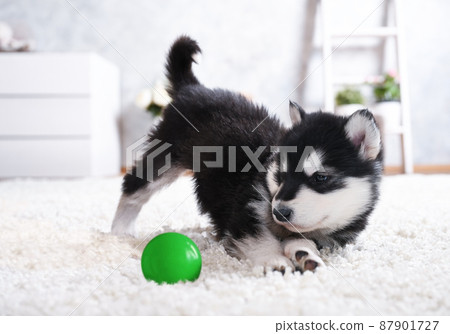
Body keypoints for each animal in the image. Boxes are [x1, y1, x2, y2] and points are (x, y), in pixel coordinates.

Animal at [110, 35, 382, 272]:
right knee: (133, 187)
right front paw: (273, 259)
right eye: (281, 175)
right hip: (166, 157)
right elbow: (258, 237)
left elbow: (301, 240)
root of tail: (194, 88)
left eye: (320, 178)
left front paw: (305, 255)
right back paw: (120, 231)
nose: (278, 212)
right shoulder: (245, 210)